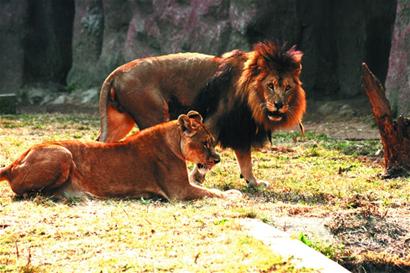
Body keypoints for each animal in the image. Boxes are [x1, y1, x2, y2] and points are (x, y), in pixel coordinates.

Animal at [0, 110, 240, 200]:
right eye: (205, 143)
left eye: (213, 143)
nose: (217, 159)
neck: (173, 142)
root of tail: (13, 163)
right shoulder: (179, 191)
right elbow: (210, 192)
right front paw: (232, 195)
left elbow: (208, 188)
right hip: (63, 153)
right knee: (27, 192)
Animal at [97, 41, 306, 186]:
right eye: (270, 85)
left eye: (287, 88)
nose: (279, 105)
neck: (253, 101)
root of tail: (118, 72)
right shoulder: (214, 123)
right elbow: (205, 157)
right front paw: (195, 179)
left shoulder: (239, 130)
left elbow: (246, 162)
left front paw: (253, 183)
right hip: (153, 115)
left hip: (120, 122)